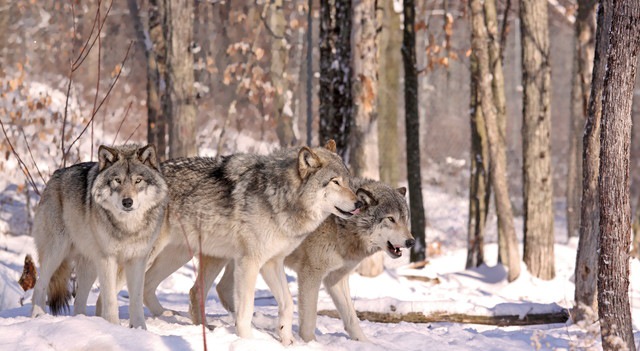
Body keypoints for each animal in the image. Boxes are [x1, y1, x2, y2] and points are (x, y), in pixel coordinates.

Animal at [30, 144, 168, 330]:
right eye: (117, 180)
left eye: (138, 181)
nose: (127, 202)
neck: (128, 227)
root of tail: (55, 175)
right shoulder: (107, 259)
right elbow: (110, 300)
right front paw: (114, 327)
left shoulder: (138, 260)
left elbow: (136, 300)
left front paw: (140, 329)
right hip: (56, 253)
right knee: (40, 286)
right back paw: (38, 316)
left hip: (89, 266)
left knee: (79, 301)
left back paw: (83, 324)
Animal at [138, 142, 362, 346]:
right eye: (335, 182)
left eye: (348, 181)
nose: (359, 203)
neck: (279, 197)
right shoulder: (250, 262)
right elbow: (246, 310)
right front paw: (247, 341)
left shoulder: (272, 263)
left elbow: (288, 303)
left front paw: (287, 339)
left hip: (187, 256)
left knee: (157, 286)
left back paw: (172, 317)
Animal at [190, 177, 412, 342]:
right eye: (390, 219)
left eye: (405, 219)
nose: (411, 241)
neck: (341, 226)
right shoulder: (310, 275)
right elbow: (309, 319)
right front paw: (309, 343)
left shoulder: (335, 279)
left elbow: (352, 318)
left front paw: (365, 344)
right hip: (221, 258)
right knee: (197, 290)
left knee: (223, 288)